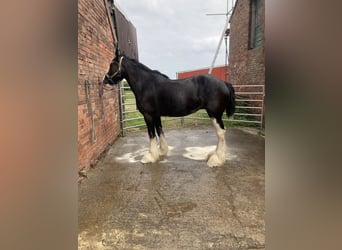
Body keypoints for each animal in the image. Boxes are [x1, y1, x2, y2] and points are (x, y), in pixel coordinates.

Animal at [102, 55, 235, 167]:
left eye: (112, 64)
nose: (104, 80)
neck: (146, 84)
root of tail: (224, 83)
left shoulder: (148, 115)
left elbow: (151, 134)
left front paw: (150, 156)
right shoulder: (156, 115)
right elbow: (159, 131)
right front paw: (161, 152)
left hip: (215, 114)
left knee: (220, 133)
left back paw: (217, 159)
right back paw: (214, 155)